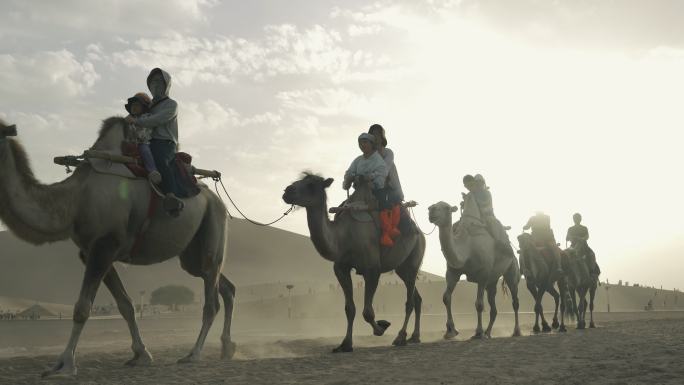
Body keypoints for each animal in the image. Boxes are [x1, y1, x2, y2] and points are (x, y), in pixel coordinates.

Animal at [0, 118, 235, 376]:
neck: (77, 199)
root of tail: (217, 199)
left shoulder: (105, 245)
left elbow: (82, 308)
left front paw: (64, 364)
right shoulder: (91, 251)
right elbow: (126, 305)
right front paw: (141, 355)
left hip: (214, 222)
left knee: (211, 298)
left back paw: (193, 354)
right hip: (192, 254)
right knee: (224, 286)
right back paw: (227, 347)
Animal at [282, 174, 422, 352]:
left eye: (311, 184)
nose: (287, 191)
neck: (344, 236)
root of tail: (419, 233)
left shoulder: (372, 269)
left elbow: (367, 312)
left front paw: (381, 327)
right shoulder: (341, 268)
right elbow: (350, 308)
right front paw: (345, 344)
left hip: (414, 260)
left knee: (409, 301)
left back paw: (401, 337)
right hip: (401, 269)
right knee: (417, 298)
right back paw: (414, 337)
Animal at [424, 198, 520, 340]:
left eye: (446, 207)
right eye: (432, 206)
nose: (431, 210)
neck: (467, 247)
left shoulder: (483, 274)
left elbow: (479, 304)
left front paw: (478, 332)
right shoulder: (452, 272)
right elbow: (446, 297)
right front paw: (450, 331)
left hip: (511, 269)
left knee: (515, 300)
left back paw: (516, 332)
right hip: (492, 282)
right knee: (494, 307)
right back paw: (488, 333)